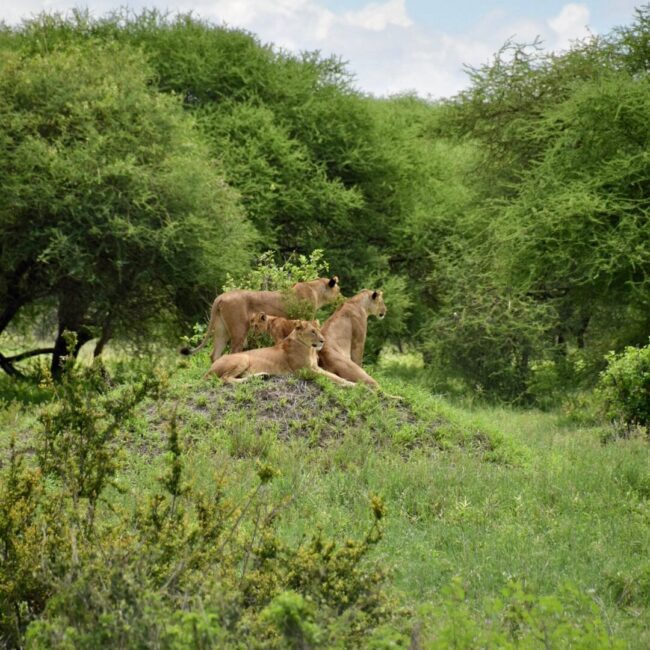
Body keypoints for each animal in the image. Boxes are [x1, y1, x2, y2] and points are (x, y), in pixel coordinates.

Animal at [181, 277, 340, 362]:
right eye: (339, 290)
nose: (342, 298)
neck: (315, 289)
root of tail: (220, 296)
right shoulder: (307, 317)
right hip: (239, 329)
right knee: (233, 351)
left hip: (221, 330)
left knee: (214, 354)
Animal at [205, 320, 354, 386]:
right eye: (312, 331)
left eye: (319, 329)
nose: (323, 341)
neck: (310, 349)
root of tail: (210, 368)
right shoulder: (305, 371)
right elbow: (331, 377)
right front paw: (353, 385)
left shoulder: (315, 368)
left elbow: (333, 375)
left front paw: (350, 382)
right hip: (243, 358)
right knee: (225, 378)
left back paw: (262, 376)